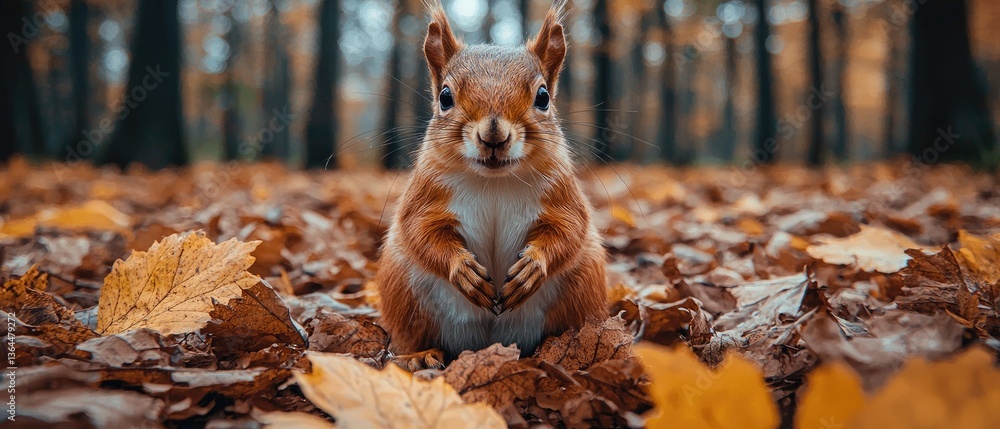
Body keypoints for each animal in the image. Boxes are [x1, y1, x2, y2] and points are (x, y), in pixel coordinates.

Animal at [375, 1, 608, 370]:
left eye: (543, 96)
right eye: (445, 96)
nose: (493, 135)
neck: (494, 183)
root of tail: (488, 342)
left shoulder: (561, 193)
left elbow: (568, 228)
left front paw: (532, 267)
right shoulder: (426, 194)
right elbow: (420, 230)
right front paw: (462, 270)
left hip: (583, 287)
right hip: (404, 293)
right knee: (414, 335)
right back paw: (420, 356)